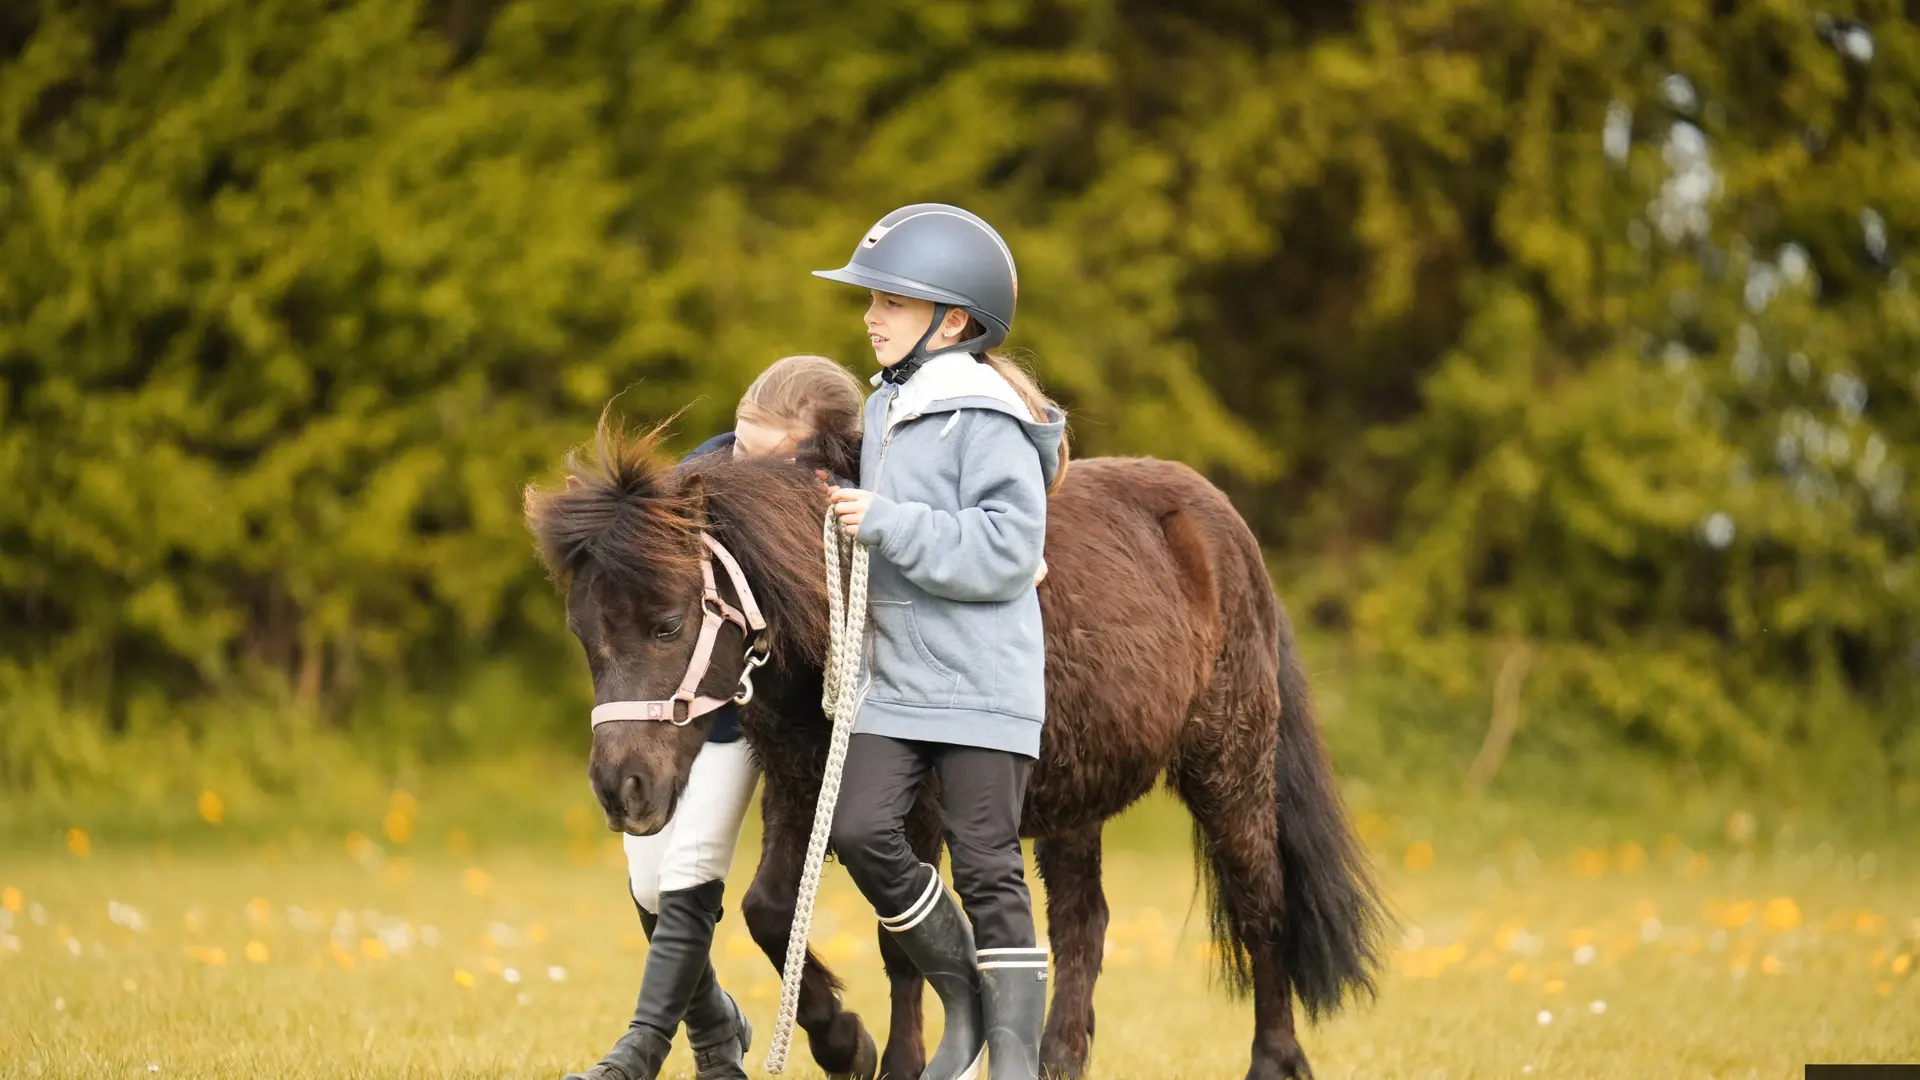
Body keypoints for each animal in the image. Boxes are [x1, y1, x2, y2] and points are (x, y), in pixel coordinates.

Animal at [526, 418, 1390, 1076]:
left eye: (668, 624)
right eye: (583, 635)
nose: (622, 788)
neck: (843, 618)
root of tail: (1222, 525)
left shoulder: (908, 814)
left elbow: (900, 943)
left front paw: (899, 1061)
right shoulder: (802, 789)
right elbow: (769, 911)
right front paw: (844, 1044)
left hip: (1228, 768)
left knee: (1260, 905)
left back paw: (1274, 1060)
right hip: (1073, 799)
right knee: (1083, 922)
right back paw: (1056, 1060)